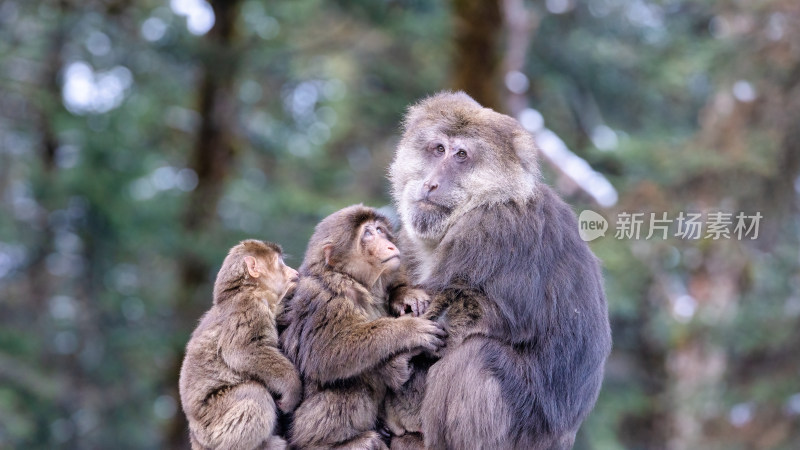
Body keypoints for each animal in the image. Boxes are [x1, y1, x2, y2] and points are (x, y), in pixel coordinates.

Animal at [180, 239, 302, 450]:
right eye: (281, 263)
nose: (293, 271)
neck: (242, 290)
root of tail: (196, 437)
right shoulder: (249, 306)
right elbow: (242, 352)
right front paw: (292, 389)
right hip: (213, 426)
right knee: (254, 392)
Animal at [280, 206, 444, 448]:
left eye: (379, 230)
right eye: (367, 234)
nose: (390, 245)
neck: (355, 282)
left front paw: (405, 295)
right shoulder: (324, 298)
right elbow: (324, 354)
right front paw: (408, 331)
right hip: (301, 424)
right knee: (349, 386)